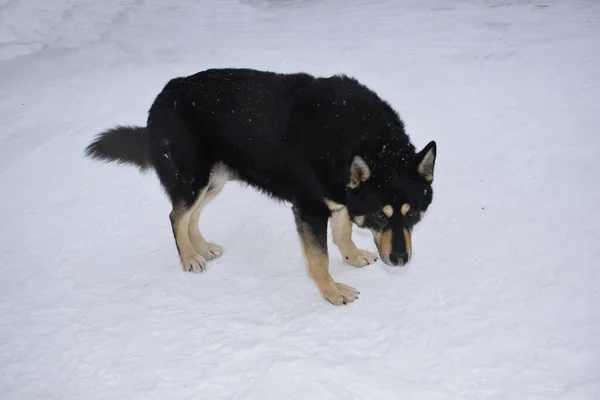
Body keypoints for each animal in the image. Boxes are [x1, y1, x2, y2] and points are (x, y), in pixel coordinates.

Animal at [85, 68, 436, 306]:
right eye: (379, 216)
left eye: (413, 215)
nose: (401, 261)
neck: (364, 139)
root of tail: (165, 93)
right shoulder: (309, 208)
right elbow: (319, 259)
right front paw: (332, 291)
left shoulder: (338, 198)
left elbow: (343, 232)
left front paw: (351, 256)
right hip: (192, 181)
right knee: (176, 217)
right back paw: (188, 259)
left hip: (213, 182)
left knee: (190, 217)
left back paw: (202, 248)